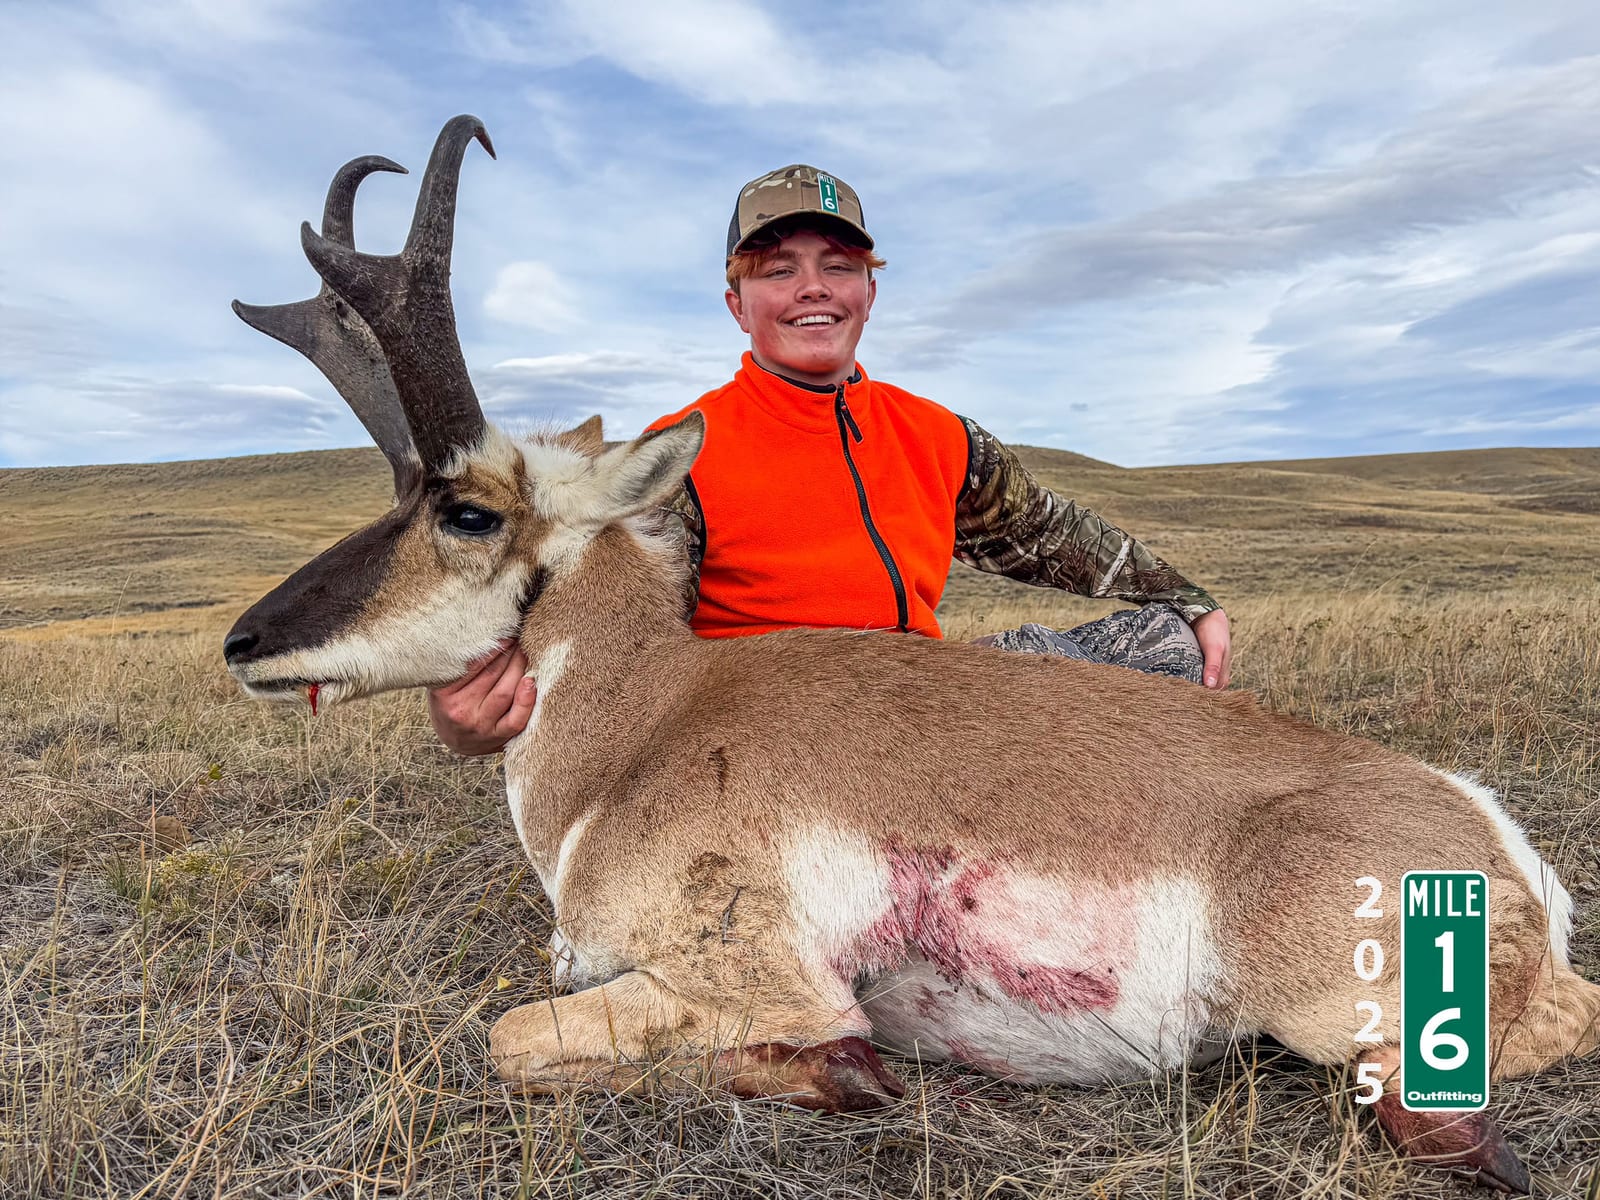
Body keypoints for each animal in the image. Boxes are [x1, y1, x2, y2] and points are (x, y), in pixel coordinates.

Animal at [224, 116, 1598, 1194]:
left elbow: (516, 1038)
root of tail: (1478, 822)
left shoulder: (770, 982)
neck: (650, 722)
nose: (243, 641)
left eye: (465, 511)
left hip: (1334, 1008)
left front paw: (855, 1076)